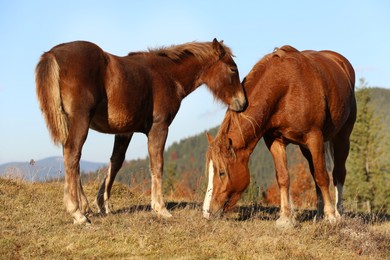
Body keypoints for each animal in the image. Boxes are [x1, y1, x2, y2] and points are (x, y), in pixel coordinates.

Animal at [35, 39, 245, 223]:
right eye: (233, 69)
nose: (243, 103)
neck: (167, 75)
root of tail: (52, 53)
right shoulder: (159, 126)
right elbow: (157, 164)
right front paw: (160, 209)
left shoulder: (125, 131)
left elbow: (116, 162)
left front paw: (103, 205)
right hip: (81, 118)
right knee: (72, 152)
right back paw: (77, 213)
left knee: (71, 156)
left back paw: (84, 206)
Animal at [204, 45, 356, 226]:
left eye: (221, 172)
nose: (207, 212)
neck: (285, 88)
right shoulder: (275, 141)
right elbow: (283, 177)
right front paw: (285, 218)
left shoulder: (315, 138)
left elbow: (322, 176)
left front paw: (331, 216)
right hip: (306, 148)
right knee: (314, 173)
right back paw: (319, 214)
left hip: (342, 137)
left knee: (338, 173)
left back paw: (338, 212)